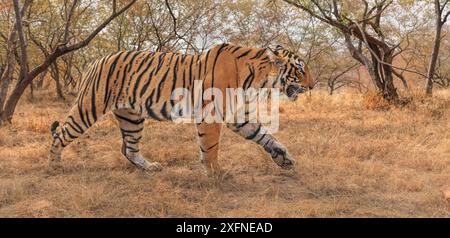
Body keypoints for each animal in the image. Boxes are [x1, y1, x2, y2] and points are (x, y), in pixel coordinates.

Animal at [48, 43, 312, 176]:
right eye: (300, 70)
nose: (312, 85)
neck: (259, 78)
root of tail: (96, 60)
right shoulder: (211, 113)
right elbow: (210, 146)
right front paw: (216, 172)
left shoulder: (238, 115)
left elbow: (264, 136)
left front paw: (284, 159)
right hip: (89, 107)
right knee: (61, 134)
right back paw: (54, 166)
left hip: (132, 117)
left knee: (128, 148)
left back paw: (150, 167)